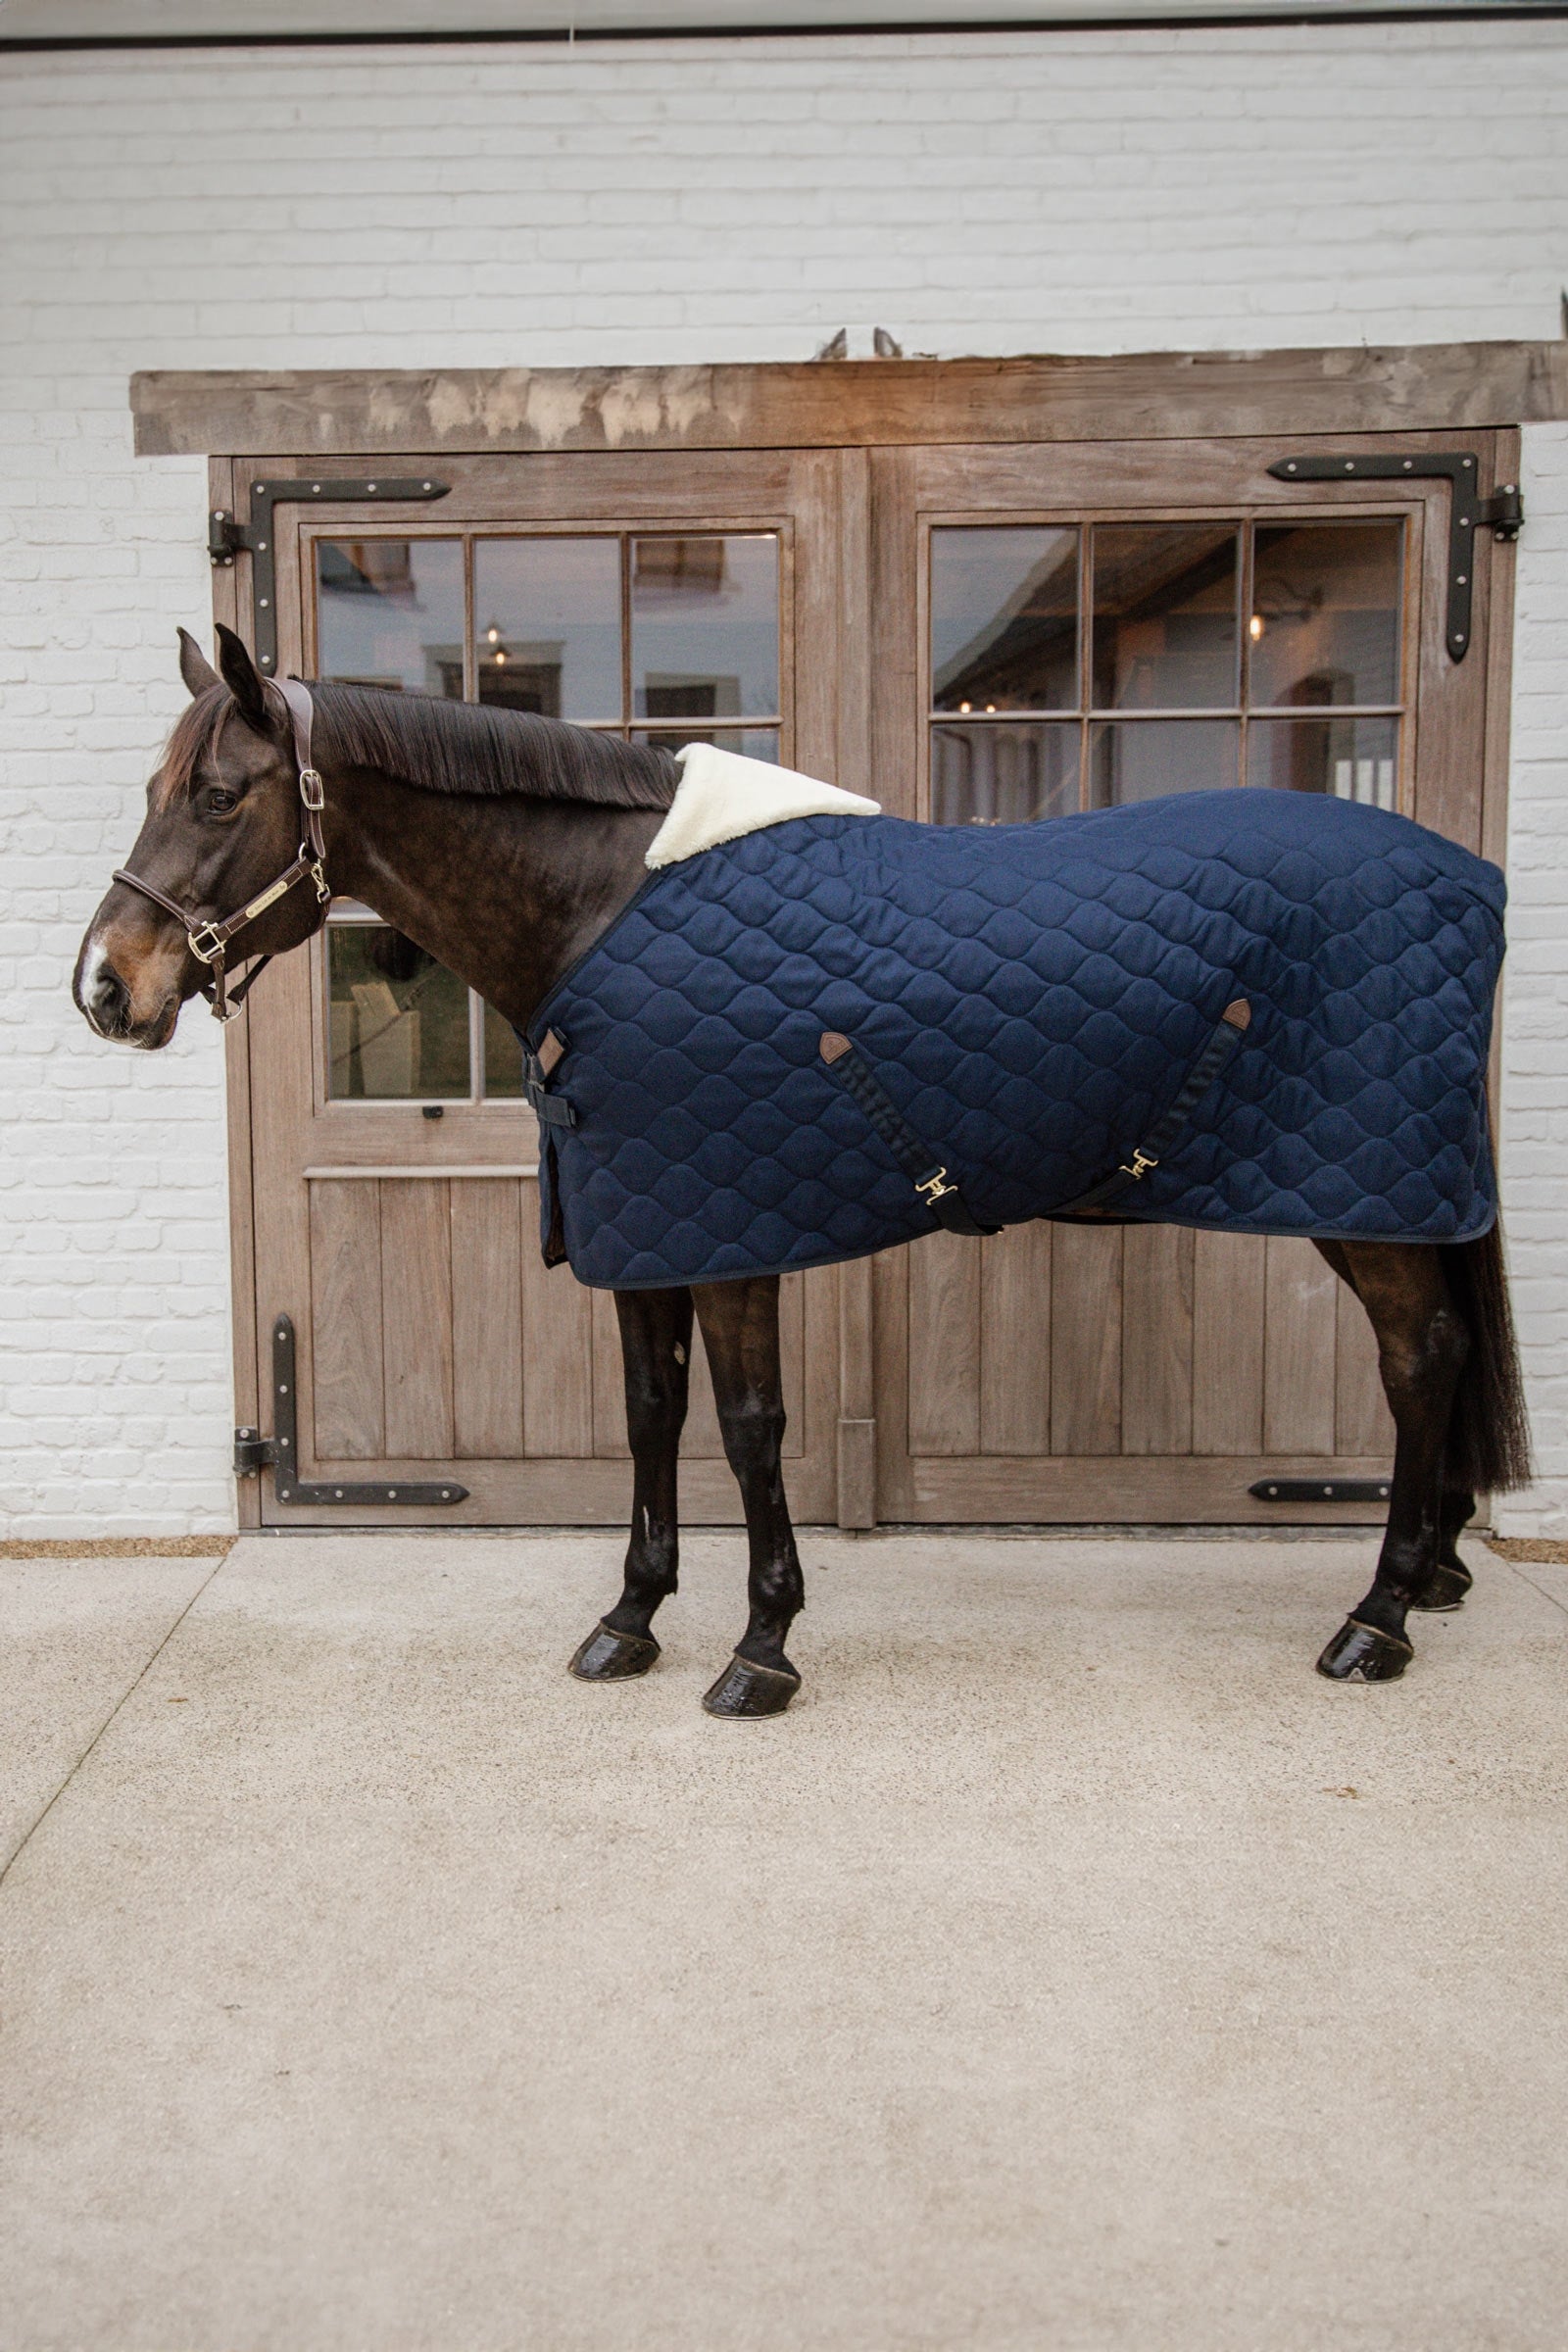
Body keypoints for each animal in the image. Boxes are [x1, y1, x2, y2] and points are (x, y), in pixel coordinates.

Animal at [73, 625, 1531, 1718]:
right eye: (150, 792)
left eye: (218, 796)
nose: (103, 986)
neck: (603, 904)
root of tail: (1472, 880)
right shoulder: (643, 1229)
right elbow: (651, 1416)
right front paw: (630, 1619)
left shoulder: (730, 1232)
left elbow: (747, 1427)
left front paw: (759, 1648)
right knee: (1439, 1361)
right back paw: (1431, 1579)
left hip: (1369, 1204)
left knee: (1422, 1361)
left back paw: (1377, 1619)